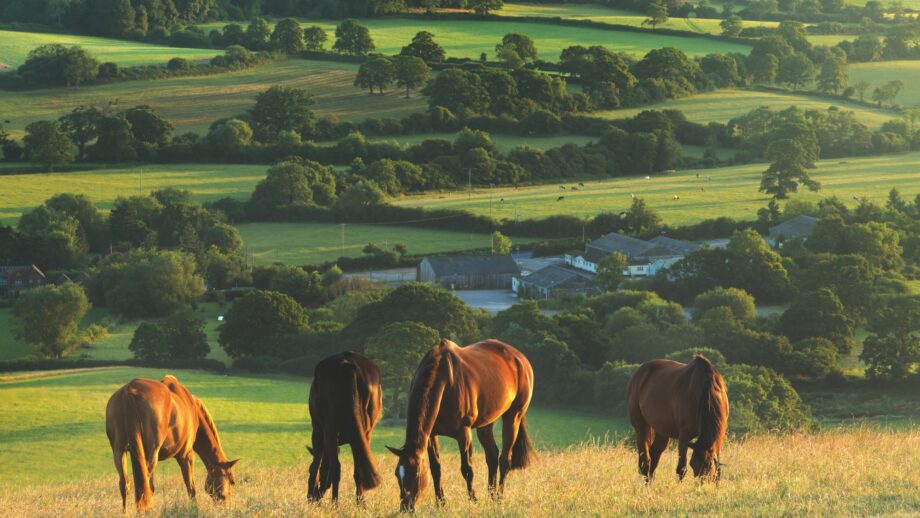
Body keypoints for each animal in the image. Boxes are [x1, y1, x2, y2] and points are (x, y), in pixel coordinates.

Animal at [105, 376, 239, 512]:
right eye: (232, 481)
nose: (227, 507)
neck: (192, 408)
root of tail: (129, 391)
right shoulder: (186, 456)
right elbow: (191, 487)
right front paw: (194, 509)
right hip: (150, 455)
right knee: (145, 485)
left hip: (119, 451)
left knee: (126, 485)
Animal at [307, 351, 383, 504]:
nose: (314, 498)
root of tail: (347, 364)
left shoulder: (318, 433)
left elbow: (316, 465)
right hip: (365, 432)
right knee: (358, 469)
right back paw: (361, 503)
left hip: (329, 429)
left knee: (336, 468)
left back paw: (335, 504)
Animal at [387, 339, 534, 512]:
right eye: (397, 474)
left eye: (416, 473)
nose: (406, 507)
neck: (445, 381)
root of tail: (520, 358)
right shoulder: (431, 435)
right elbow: (436, 468)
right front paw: (441, 503)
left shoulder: (463, 433)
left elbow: (467, 469)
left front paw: (473, 500)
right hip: (486, 423)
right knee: (492, 456)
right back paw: (491, 496)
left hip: (513, 416)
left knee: (505, 459)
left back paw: (498, 498)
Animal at [626, 355, 728, 483]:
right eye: (693, 465)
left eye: (709, 466)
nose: (701, 485)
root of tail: (637, 374)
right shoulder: (684, 435)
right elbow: (682, 468)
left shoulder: (719, 436)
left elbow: (718, 470)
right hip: (641, 426)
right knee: (645, 461)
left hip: (662, 431)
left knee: (654, 456)